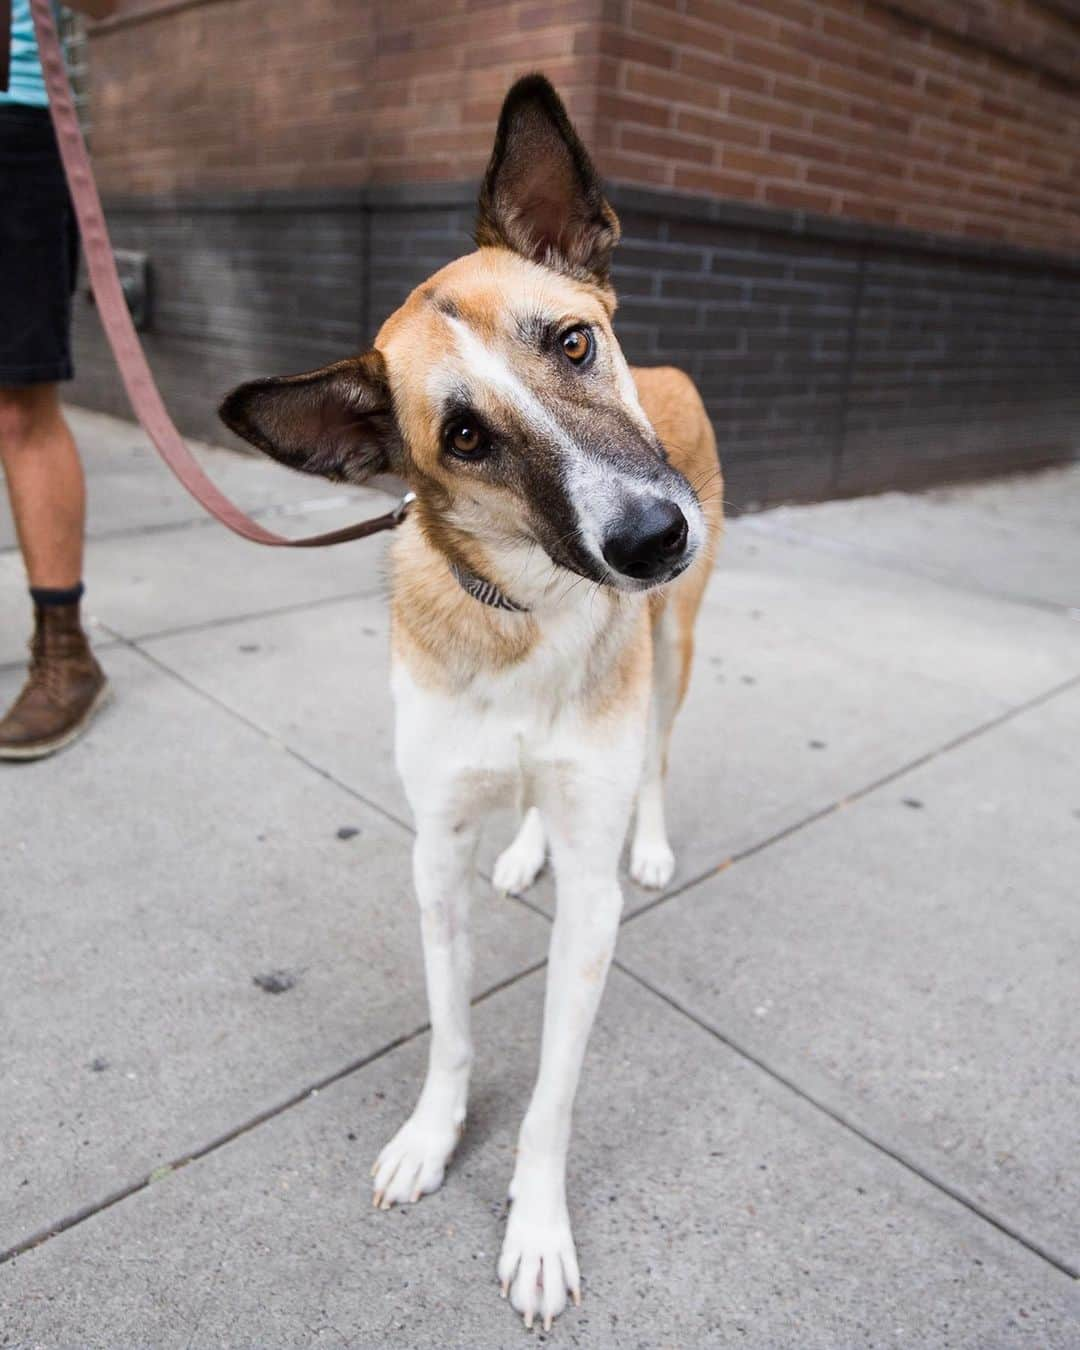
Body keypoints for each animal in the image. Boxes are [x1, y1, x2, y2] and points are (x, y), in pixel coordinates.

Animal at [218, 73, 723, 1328]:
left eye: (575, 340)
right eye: (463, 436)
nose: (652, 539)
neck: (527, 609)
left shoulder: (592, 901)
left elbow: (552, 1091)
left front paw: (536, 1228)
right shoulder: (432, 851)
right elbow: (450, 1034)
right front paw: (430, 1140)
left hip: (678, 646)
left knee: (656, 756)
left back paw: (652, 838)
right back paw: (522, 850)